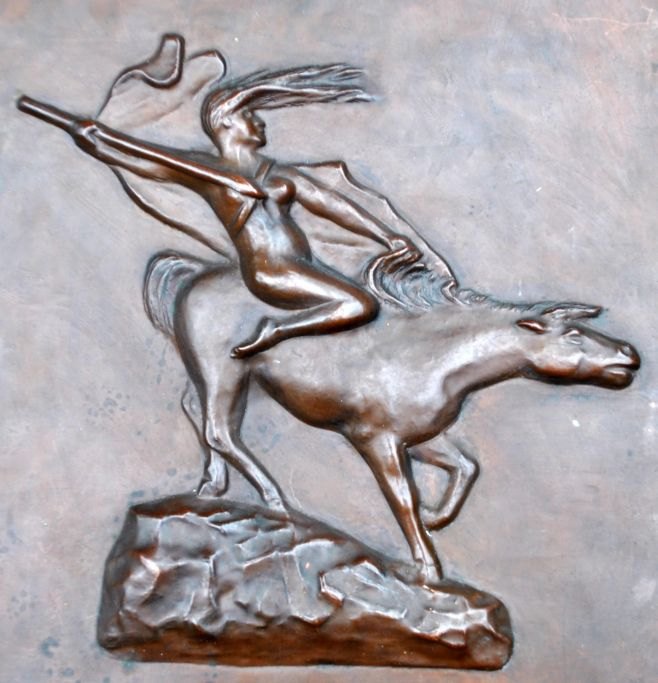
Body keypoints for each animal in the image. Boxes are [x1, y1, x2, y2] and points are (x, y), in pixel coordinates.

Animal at [143, 252, 640, 586]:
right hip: (224, 370)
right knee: (219, 429)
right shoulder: (376, 439)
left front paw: (437, 519)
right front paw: (428, 565)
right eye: (573, 334)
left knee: (198, 412)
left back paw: (214, 488)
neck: (430, 357)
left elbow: (466, 466)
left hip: (218, 375)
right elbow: (403, 497)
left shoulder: (419, 437)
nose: (629, 355)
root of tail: (192, 274)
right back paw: (275, 499)